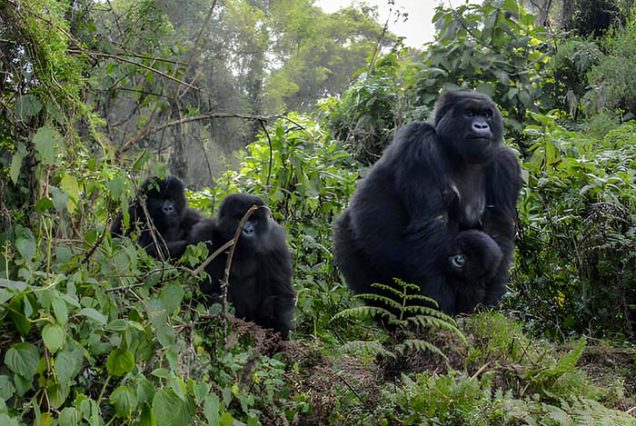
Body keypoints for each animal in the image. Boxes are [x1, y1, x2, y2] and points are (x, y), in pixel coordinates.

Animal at [189, 194, 298, 340]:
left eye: (254, 219)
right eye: (240, 218)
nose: (248, 230)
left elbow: (281, 294)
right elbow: (198, 294)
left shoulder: (275, 241)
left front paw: (280, 336)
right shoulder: (203, 236)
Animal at [332, 90, 520, 314]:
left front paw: (485, 303)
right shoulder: (421, 142)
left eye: (487, 115)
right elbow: (431, 224)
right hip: (349, 237)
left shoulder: (505, 162)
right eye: (470, 113)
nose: (482, 126)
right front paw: (436, 306)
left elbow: (498, 231)